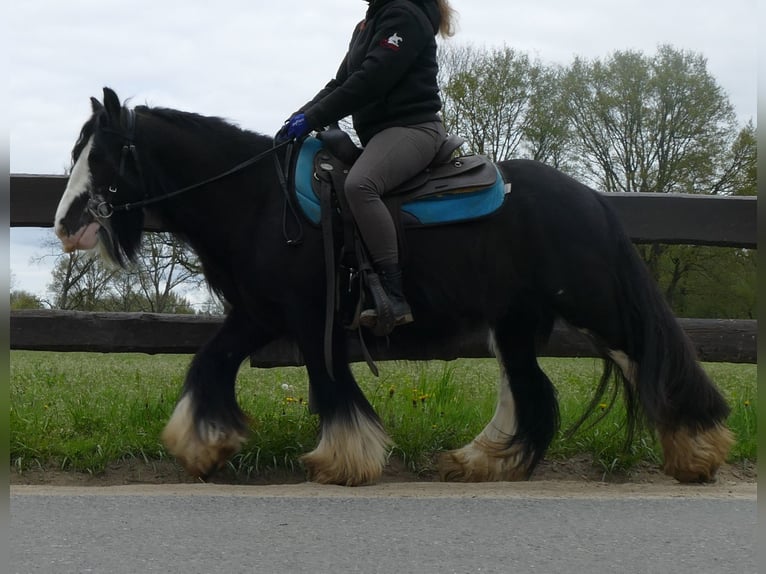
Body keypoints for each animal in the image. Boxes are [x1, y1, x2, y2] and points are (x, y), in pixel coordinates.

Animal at [54, 89, 736, 486]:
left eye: (105, 155)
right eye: (76, 150)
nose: (64, 224)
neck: (259, 201)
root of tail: (590, 199)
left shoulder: (310, 317)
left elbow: (330, 381)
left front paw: (345, 458)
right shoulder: (256, 315)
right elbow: (208, 364)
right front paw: (202, 446)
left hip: (589, 303)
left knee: (646, 353)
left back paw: (699, 448)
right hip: (514, 322)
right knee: (525, 391)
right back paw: (481, 459)